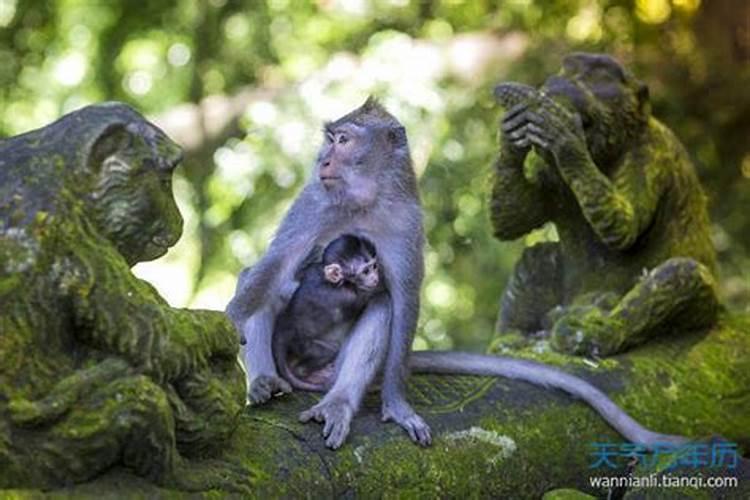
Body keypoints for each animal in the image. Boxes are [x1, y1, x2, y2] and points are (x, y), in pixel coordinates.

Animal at [274, 236, 384, 392]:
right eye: (365, 271)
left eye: (374, 266)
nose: (375, 278)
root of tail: (283, 328)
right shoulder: (349, 297)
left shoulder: (313, 271)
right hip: (302, 344)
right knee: (328, 351)